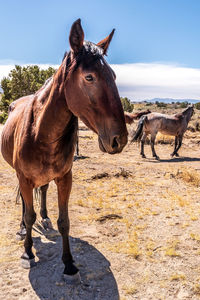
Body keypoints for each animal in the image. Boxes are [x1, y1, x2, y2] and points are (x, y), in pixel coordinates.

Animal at [0, 19, 127, 282]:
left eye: (113, 75)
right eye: (89, 77)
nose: (120, 139)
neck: (40, 132)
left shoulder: (65, 178)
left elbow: (64, 221)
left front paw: (69, 264)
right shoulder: (24, 178)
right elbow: (29, 215)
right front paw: (28, 253)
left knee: (43, 192)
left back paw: (45, 217)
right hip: (20, 176)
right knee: (26, 207)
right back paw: (22, 230)